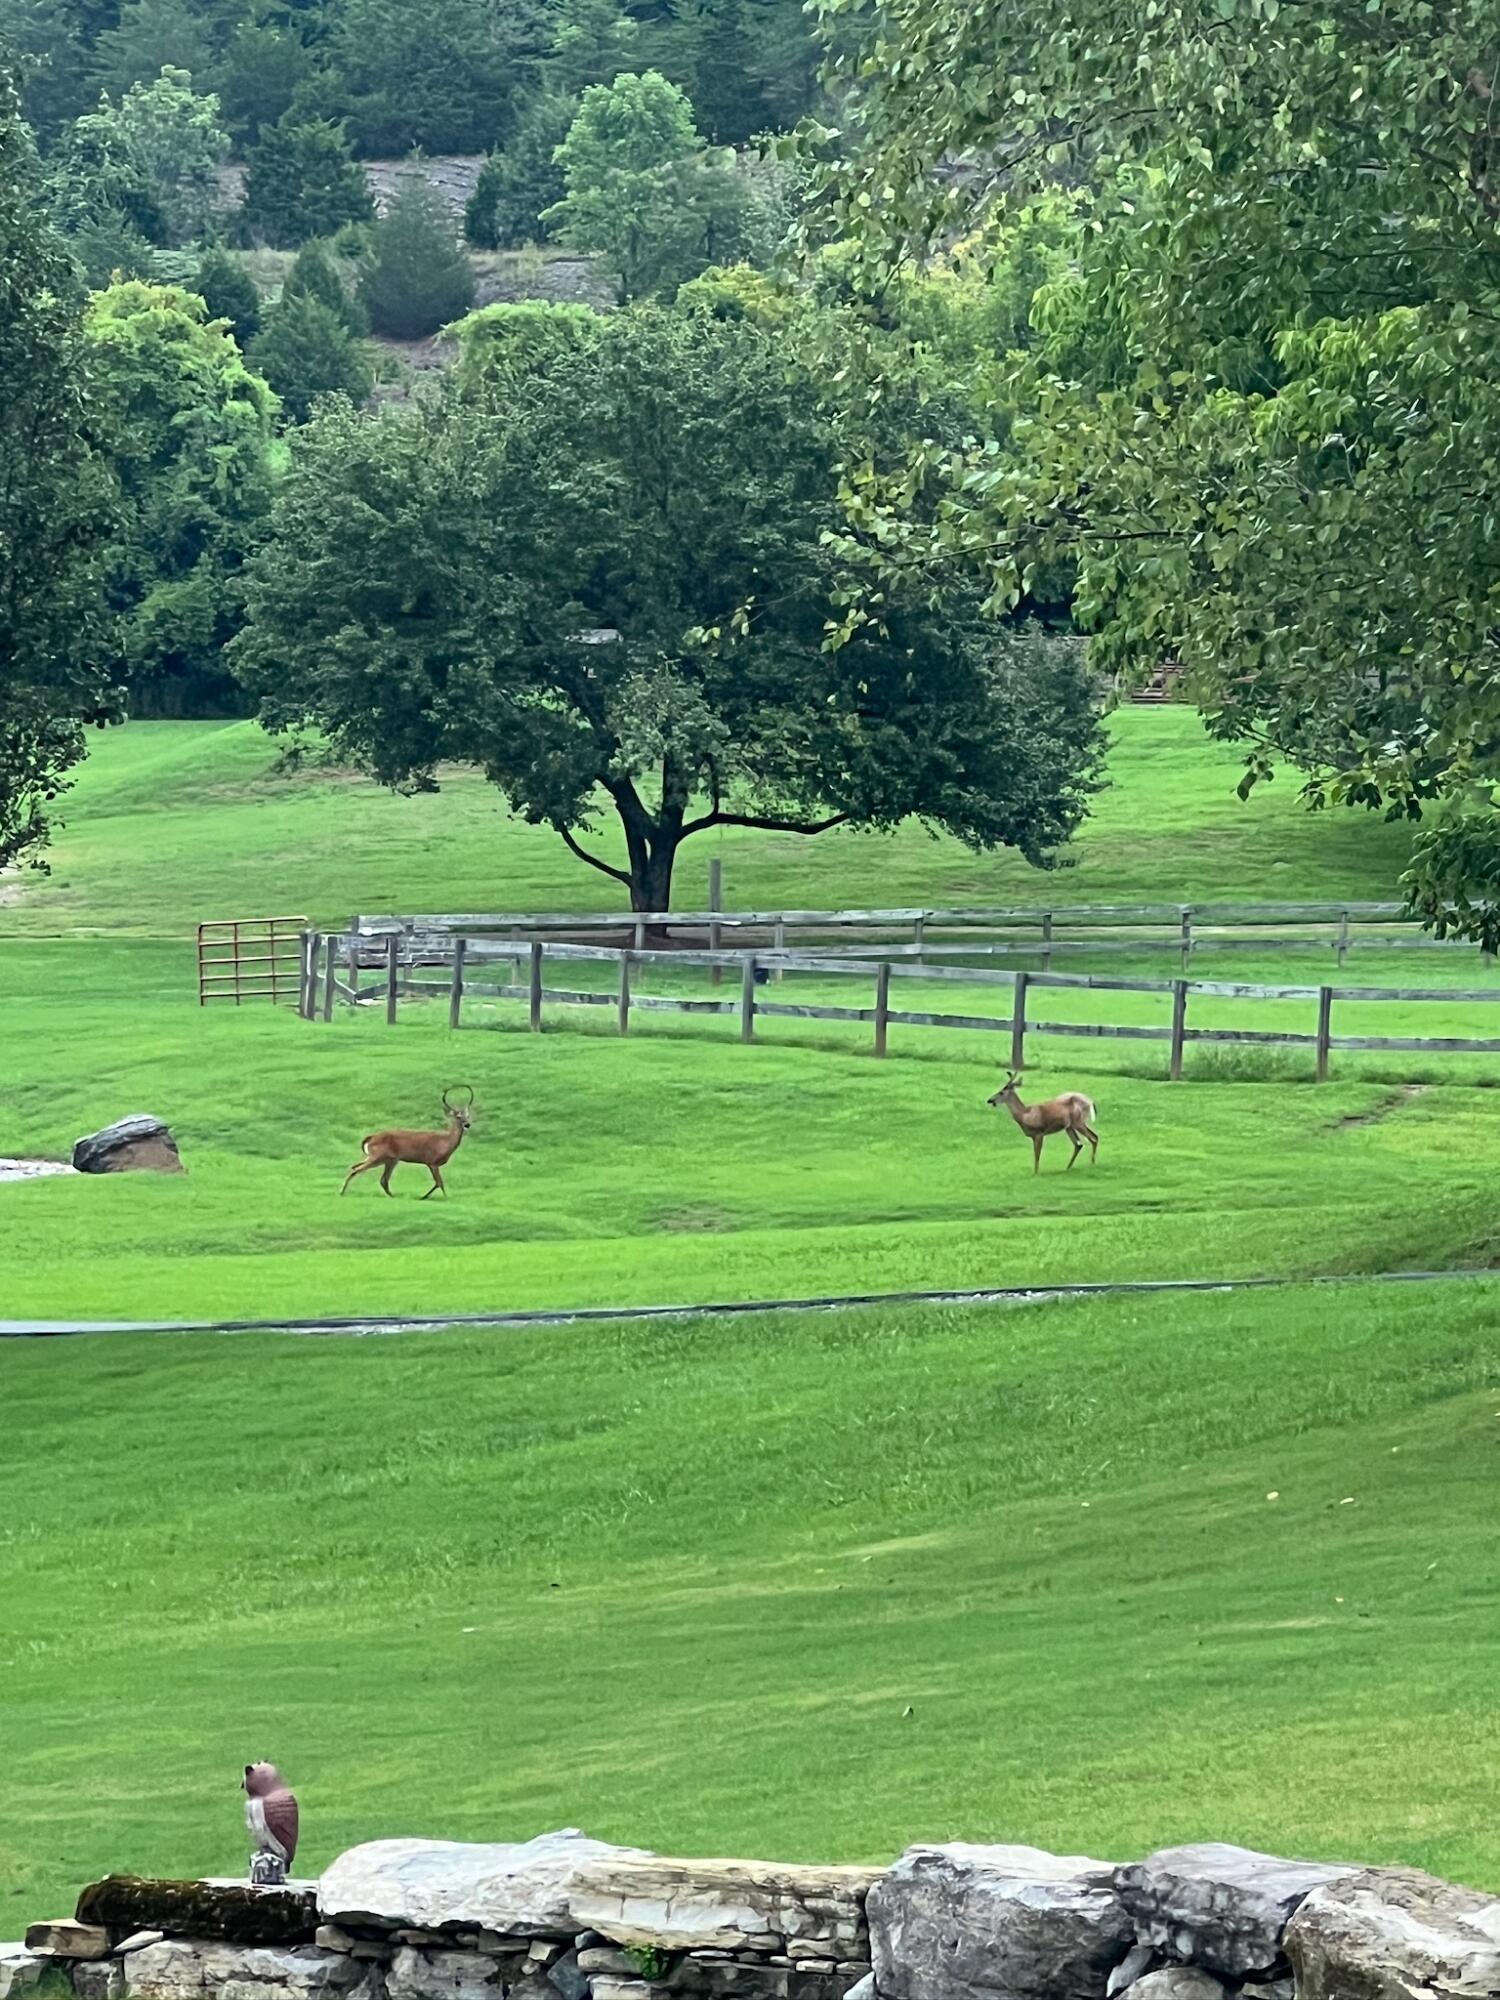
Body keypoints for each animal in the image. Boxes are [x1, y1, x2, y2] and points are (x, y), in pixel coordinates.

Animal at [340, 1085, 474, 1199]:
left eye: (468, 1115)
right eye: (458, 1116)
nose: (467, 1124)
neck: (445, 1142)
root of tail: (371, 1137)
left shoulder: (432, 1163)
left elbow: (438, 1182)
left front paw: (424, 1197)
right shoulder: (431, 1162)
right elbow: (439, 1182)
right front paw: (438, 1198)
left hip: (388, 1159)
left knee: (375, 1176)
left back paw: (392, 1196)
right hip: (378, 1157)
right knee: (358, 1170)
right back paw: (342, 1192)